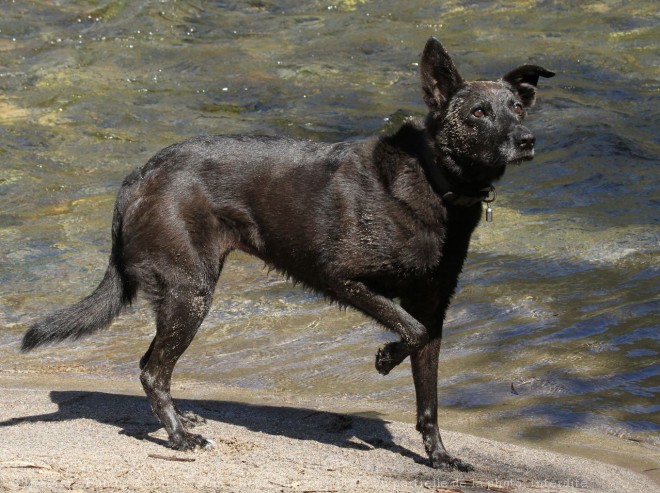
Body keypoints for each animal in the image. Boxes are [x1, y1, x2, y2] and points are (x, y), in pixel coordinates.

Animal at [21, 38, 552, 468]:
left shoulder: (434, 305)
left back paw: (183, 419)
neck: (435, 180)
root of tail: (138, 176)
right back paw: (178, 437)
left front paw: (439, 456)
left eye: (517, 108)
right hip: (191, 292)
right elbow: (410, 331)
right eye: (479, 112)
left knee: (153, 364)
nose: (527, 140)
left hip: (185, 292)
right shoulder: (343, 277)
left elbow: (429, 393)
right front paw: (384, 358)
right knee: (153, 369)